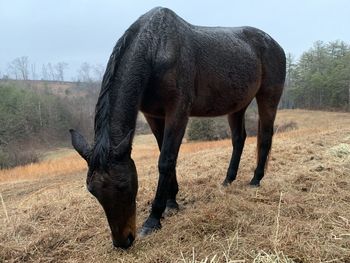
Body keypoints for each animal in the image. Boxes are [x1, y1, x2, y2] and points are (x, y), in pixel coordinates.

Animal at [68, 6, 284, 250]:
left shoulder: (178, 113)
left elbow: (166, 160)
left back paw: (255, 180)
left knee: (265, 137)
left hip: (268, 98)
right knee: (239, 139)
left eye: (123, 185)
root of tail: (274, 44)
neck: (157, 48)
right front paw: (172, 203)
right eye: (92, 191)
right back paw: (228, 181)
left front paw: (153, 219)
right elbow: (165, 154)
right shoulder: (153, 116)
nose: (123, 242)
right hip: (238, 105)